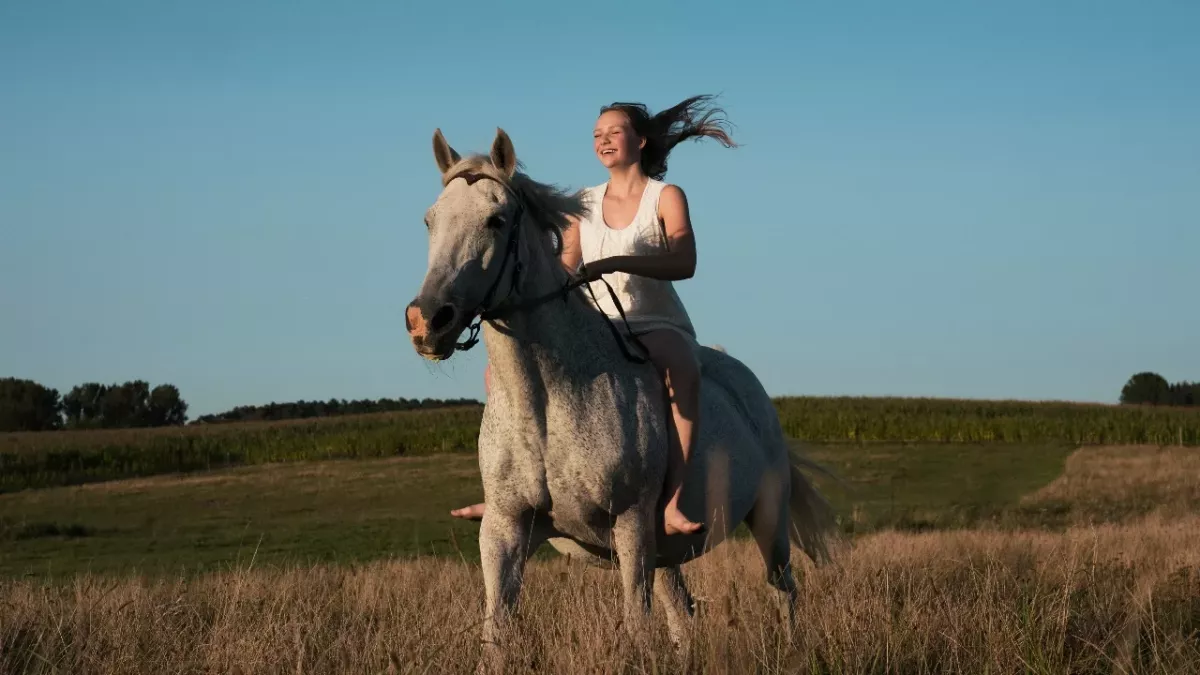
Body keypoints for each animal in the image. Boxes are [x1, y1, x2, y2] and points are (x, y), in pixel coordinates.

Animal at [405, 127, 836, 671]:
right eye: (430, 220)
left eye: (495, 219)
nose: (426, 321)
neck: (547, 404)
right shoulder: (505, 528)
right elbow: (496, 633)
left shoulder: (629, 525)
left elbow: (635, 625)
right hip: (667, 551)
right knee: (683, 613)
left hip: (767, 517)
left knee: (783, 590)